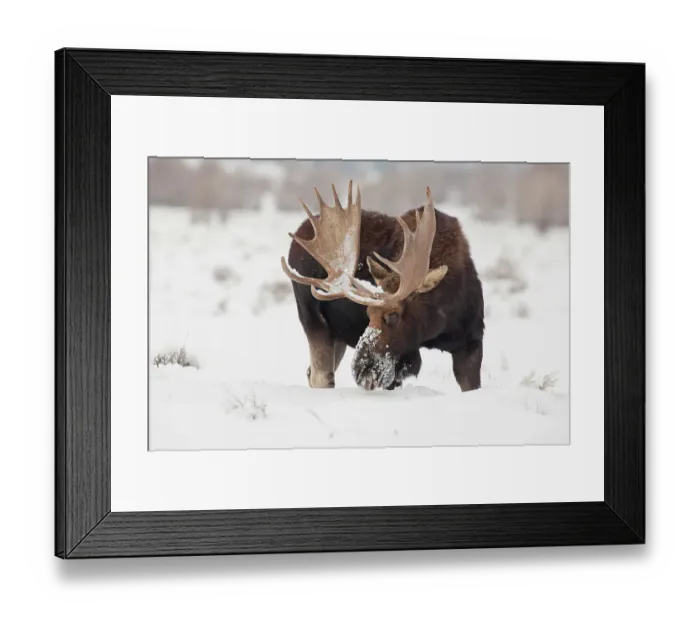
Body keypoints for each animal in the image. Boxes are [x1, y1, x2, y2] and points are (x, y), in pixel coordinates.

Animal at [280, 181, 484, 392]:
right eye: (368, 313)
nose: (361, 370)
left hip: (338, 336)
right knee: (321, 376)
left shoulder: (471, 342)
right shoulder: (400, 361)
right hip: (312, 319)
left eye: (393, 314)